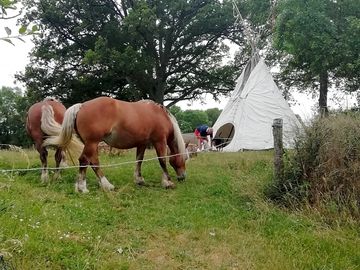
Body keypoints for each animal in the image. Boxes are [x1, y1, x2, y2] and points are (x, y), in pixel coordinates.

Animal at [43, 96, 187, 193]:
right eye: (185, 158)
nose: (183, 177)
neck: (159, 115)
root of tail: (81, 106)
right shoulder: (160, 141)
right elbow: (162, 160)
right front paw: (168, 182)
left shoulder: (142, 144)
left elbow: (139, 160)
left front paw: (139, 180)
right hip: (92, 142)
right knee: (84, 160)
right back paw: (82, 188)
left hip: (91, 144)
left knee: (93, 162)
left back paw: (106, 185)